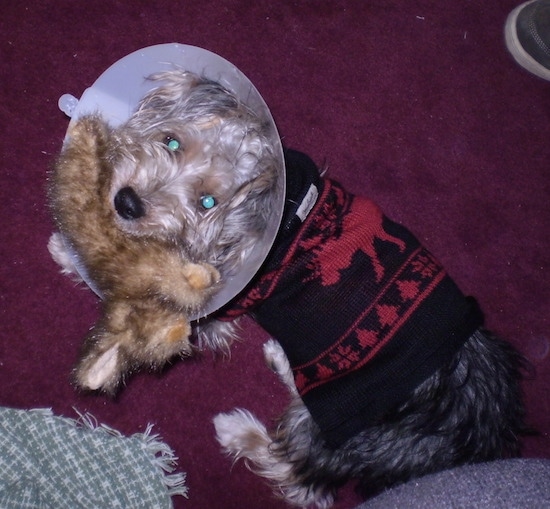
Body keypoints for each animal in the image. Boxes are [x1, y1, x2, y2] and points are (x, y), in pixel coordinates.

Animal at [51, 70, 532, 508]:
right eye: (171, 143)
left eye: (207, 202)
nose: (126, 203)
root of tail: (474, 425)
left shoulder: (217, 304)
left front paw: (72, 252)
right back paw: (283, 360)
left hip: (344, 428)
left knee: (302, 482)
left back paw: (236, 429)